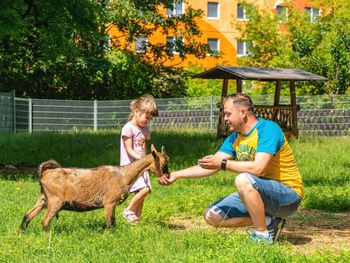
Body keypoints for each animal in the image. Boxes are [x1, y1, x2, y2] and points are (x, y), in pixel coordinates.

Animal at [19, 143, 169, 232]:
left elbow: (113, 222)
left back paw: (22, 232)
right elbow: (109, 224)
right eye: (163, 164)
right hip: (55, 201)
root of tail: (45, 173)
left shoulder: (113, 204)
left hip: (43, 199)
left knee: (28, 215)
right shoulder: (109, 203)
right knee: (45, 221)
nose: (167, 175)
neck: (123, 175)